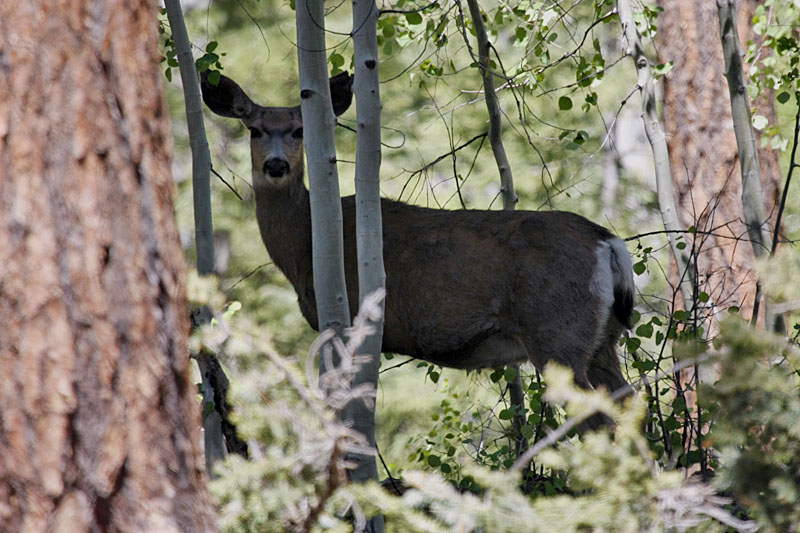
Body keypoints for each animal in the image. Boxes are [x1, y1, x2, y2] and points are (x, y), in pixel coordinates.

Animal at [203, 70, 636, 394]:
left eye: (298, 131)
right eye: (255, 129)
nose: (276, 166)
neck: (305, 249)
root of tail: (606, 241)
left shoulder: (348, 321)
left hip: (556, 332)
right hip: (604, 339)